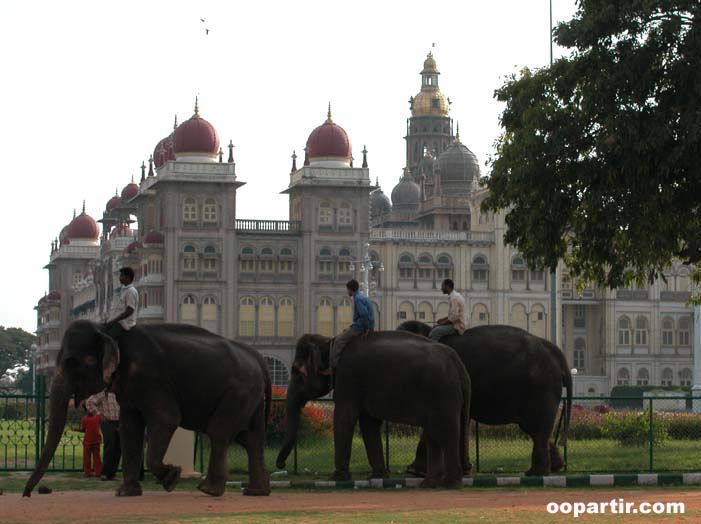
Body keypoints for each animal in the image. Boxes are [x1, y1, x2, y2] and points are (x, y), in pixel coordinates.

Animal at [23, 322, 270, 498]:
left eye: (72, 363)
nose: (27, 495)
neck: (109, 330)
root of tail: (258, 357)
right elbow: (129, 427)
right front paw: (125, 493)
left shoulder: (152, 377)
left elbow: (166, 419)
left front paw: (172, 477)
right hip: (251, 397)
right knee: (251, 438)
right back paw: (255, 492)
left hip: (239, 392)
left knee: (219, 433)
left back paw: (208, 490)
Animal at [276, 332, 468, 488]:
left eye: (296, 371)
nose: (281, 466)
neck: (329, 341)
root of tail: (458, 362)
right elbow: (368, 423)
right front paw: (378, 476)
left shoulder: (348, 377)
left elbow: (345, 417)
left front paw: (337, 477)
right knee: (435, 434)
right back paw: (429, 484)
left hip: (442, 392)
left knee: (446, 431)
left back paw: (449, 484)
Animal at [396, 320, 572, 478]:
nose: (469, 467)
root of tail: (557, 353)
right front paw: (465, 470)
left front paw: (414, 472)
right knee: (535, 430)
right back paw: (552, 467)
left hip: (540, 388)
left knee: (537, 429)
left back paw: (537, 473)